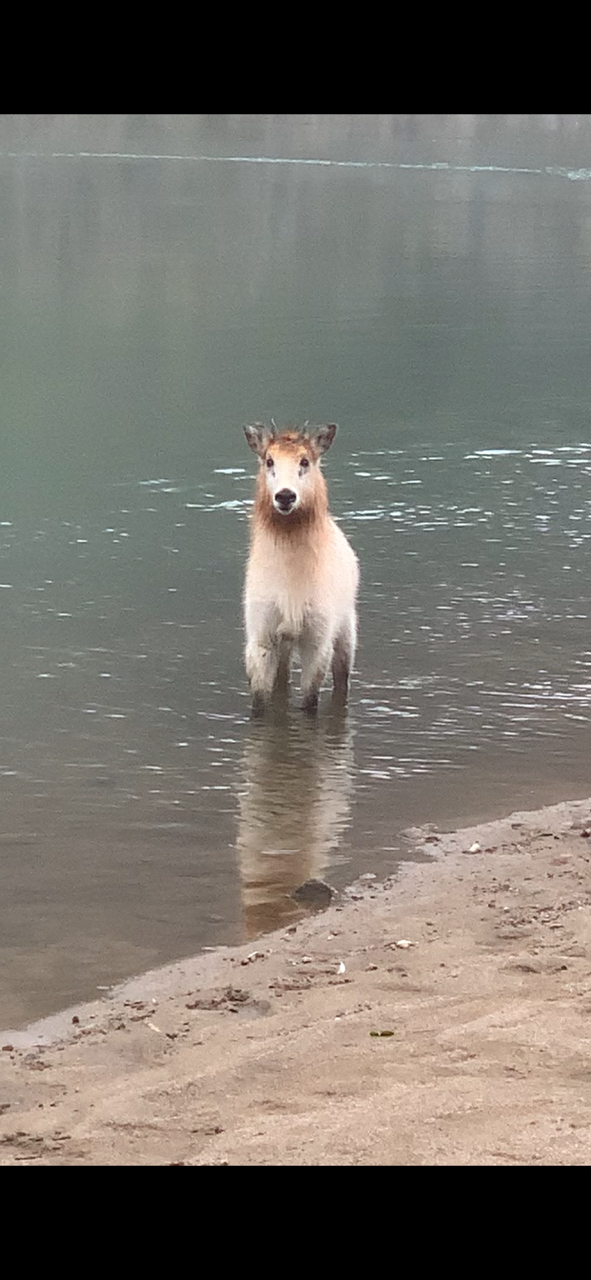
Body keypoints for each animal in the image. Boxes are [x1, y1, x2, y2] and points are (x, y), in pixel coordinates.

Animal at [241, 424, 360, 716]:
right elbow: (259, 702)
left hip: (347, 632)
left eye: (305, 461)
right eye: (269, 460)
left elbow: (309, 703)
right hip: (284, 645)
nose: (285, 496)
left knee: (342, 682)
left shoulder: (317, 640)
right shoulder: (261, 636)